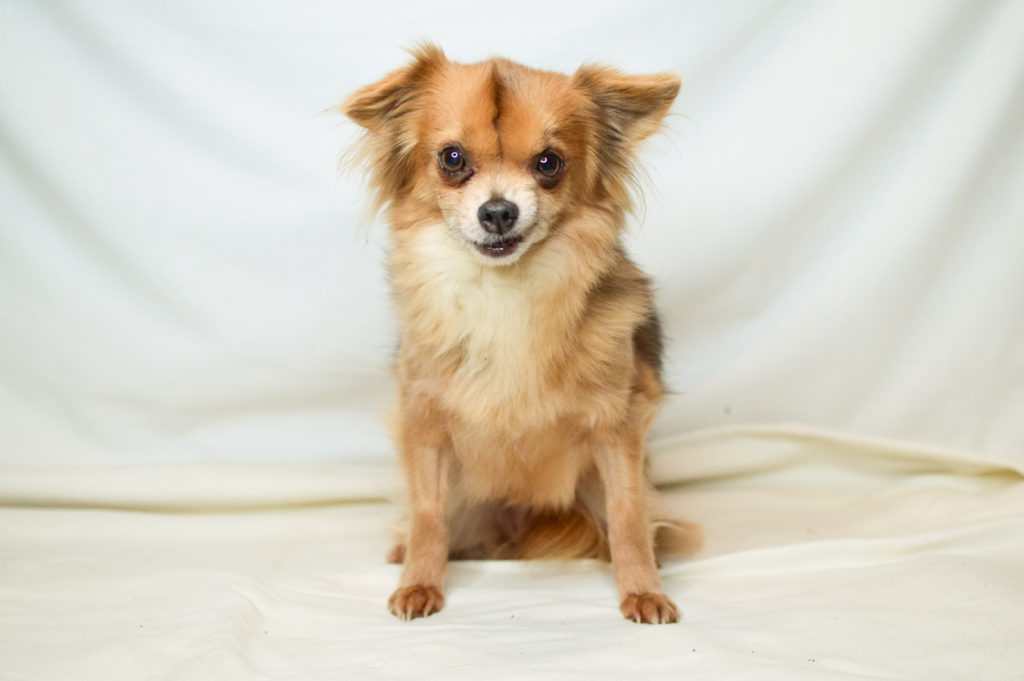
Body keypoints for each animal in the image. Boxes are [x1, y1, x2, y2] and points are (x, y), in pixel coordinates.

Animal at [341, 44, 693, 624]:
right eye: (452, 159)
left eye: (549, 164)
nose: (499, 211)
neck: (503, 291)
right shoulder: (425, 424)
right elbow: (428, 512)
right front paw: (420, 582)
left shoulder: (617, 427)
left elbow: (626, 513)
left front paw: (642, 591)